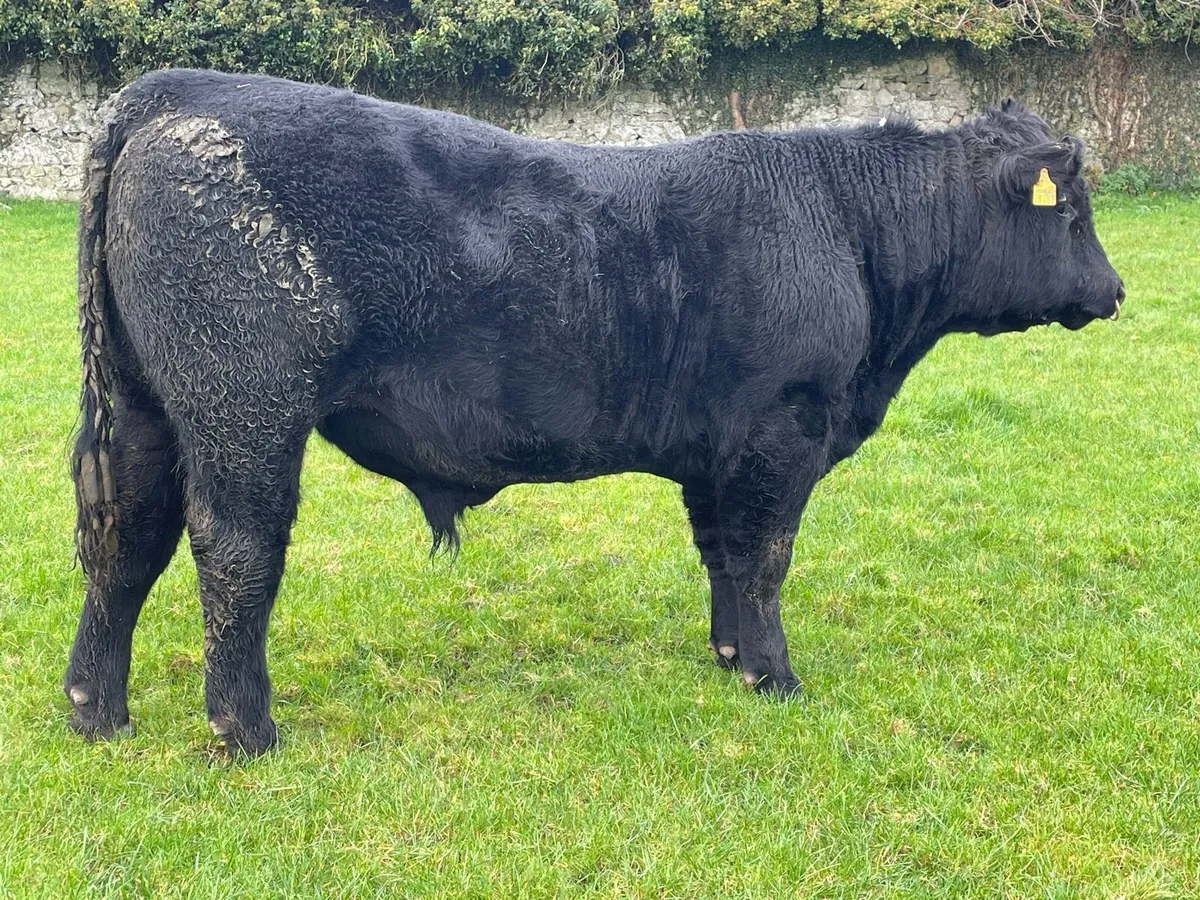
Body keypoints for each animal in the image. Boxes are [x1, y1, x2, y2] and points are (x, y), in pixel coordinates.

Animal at [65, 69, 1124, 756]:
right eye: (1071, 212)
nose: (1115, 291)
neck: (846, 228)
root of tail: (176, 90)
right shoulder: (781, 432)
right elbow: (767, 557)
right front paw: (777, 678)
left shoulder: (719, 449)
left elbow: (724, 555)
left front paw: (731, 657)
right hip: (244, 407)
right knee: (234, 550)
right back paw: (245, 729)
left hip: (147, 405)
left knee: (129, 536)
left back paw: (95, 711)